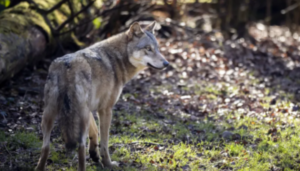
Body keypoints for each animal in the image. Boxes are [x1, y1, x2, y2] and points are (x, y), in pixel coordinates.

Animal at [35, 21, 169, 171]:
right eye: (148, 49)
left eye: (157, 49)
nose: (166, 63)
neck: (117, 59)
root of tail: (67, 66)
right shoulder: (105, 109)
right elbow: (104, 142)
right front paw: (108, 164)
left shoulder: (90, 109)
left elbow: (95, 132)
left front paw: (94, 155)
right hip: (78, 117)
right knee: (80, 146)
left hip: (50, 115)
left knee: (45, 147)